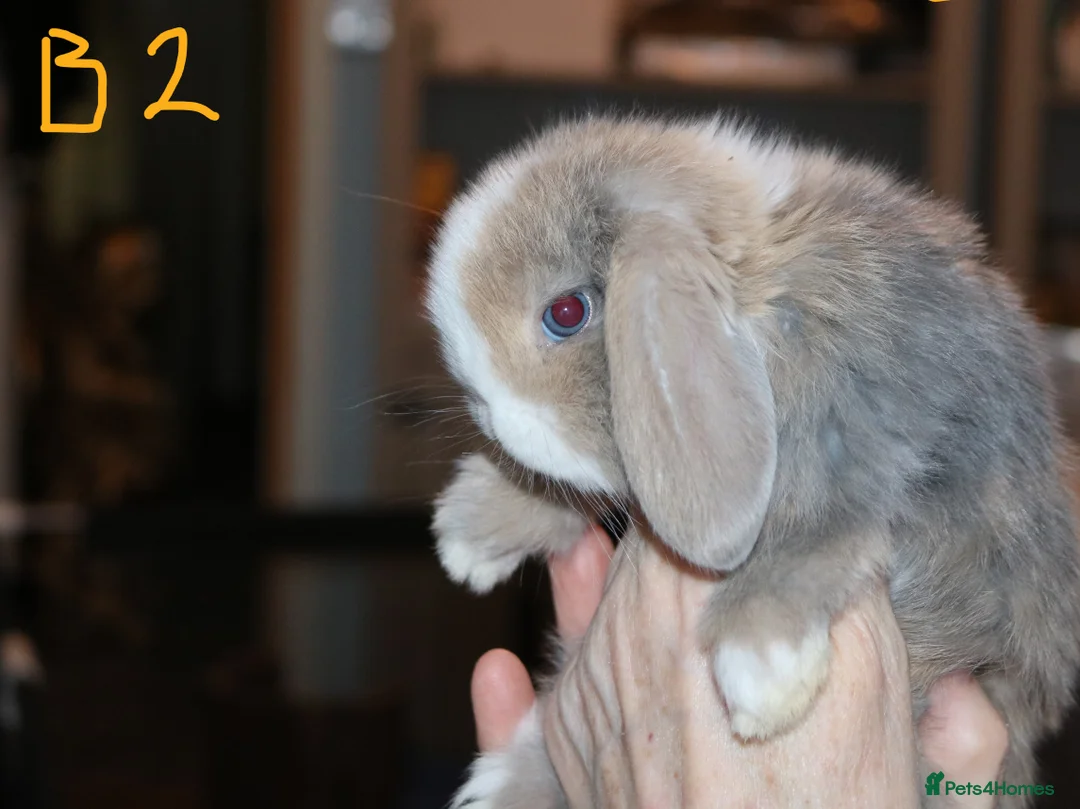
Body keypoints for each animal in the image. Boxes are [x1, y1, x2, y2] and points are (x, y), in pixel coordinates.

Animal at [425, 114, 1080, 808]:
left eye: (567, 312)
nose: (490, 416)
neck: (764, 292)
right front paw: (474, 531)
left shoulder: (873, 453)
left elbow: (815, 534)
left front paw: (761, 671)